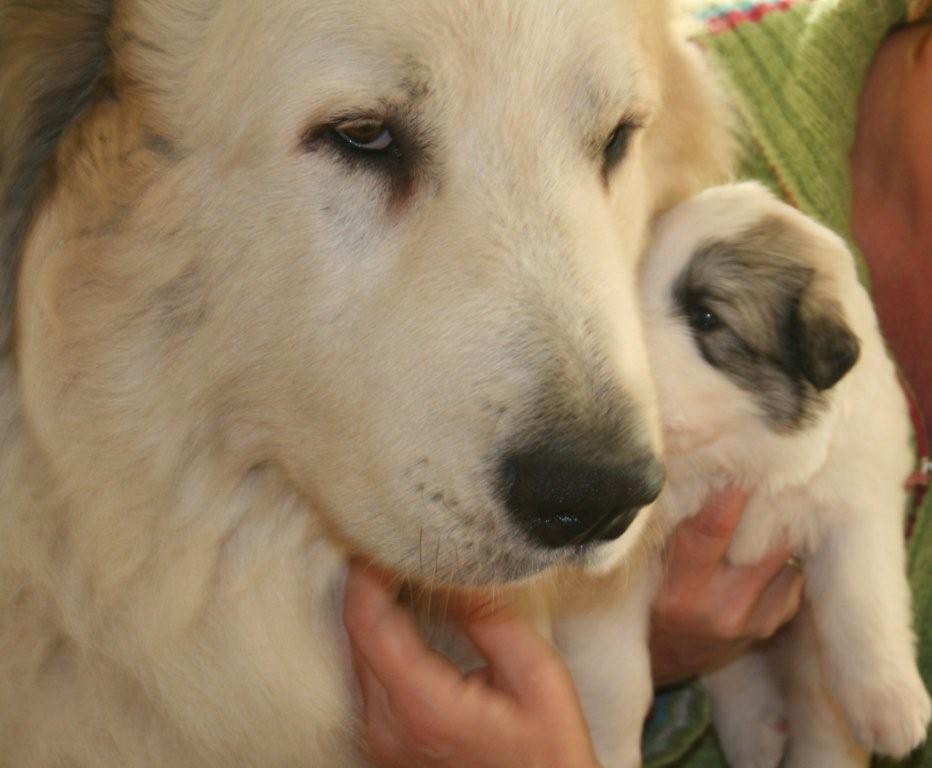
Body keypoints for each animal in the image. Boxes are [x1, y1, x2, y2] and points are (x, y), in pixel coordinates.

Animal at [556, 184, 928, 768]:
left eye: (706, 316)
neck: (741, 455)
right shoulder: (606, 570)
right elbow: (615, 681)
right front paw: (606, 749)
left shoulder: (856, 503)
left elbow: (864, 603)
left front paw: (889, 703)